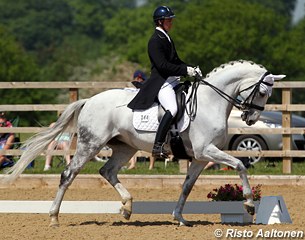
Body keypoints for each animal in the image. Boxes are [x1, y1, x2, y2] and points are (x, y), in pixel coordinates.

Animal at [2, 60, 284, 227]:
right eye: (262, 92)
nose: (251, 118)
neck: (209, 102)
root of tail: (90, 100)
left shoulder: (200, 158)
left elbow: (187, 187)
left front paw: (179, 218)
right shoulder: (208, 151)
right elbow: (241, 165)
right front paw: (249, 204)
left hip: (125, 147)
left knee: (107, 171)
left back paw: (127, 207)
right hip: (91, 144)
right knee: (68, 174)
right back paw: (54, 218)